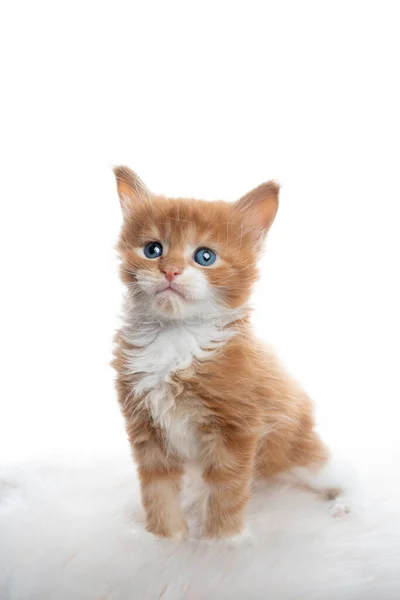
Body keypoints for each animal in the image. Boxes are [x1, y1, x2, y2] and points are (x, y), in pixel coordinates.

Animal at [112, 168, 344, 540]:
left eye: (204, 256)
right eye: (153, 249)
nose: (170, 270)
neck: (176, 337)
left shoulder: (236, 430)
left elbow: (226, 492)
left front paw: (220, 542)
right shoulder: (146, 429)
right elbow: (158, 491)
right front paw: (166, 538)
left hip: (298, 450)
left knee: (334, 472)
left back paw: (344, 504)